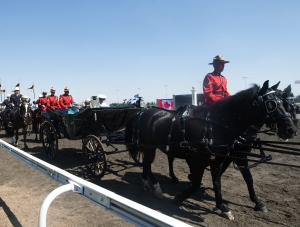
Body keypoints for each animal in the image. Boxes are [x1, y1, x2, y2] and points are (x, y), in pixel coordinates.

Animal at [125, 80, 296, 221]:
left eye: (284, 103)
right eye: (271, 104)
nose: (291, 130)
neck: (215, 126)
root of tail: (141, 112)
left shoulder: (220, 160)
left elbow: (218, 182)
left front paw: (223, 207)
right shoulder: (202, 159)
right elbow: (197, 183)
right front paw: (179, 197)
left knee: (147, 164)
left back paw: (147, 184)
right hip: (149, 149)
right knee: (148, 165)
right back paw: (157, 187)